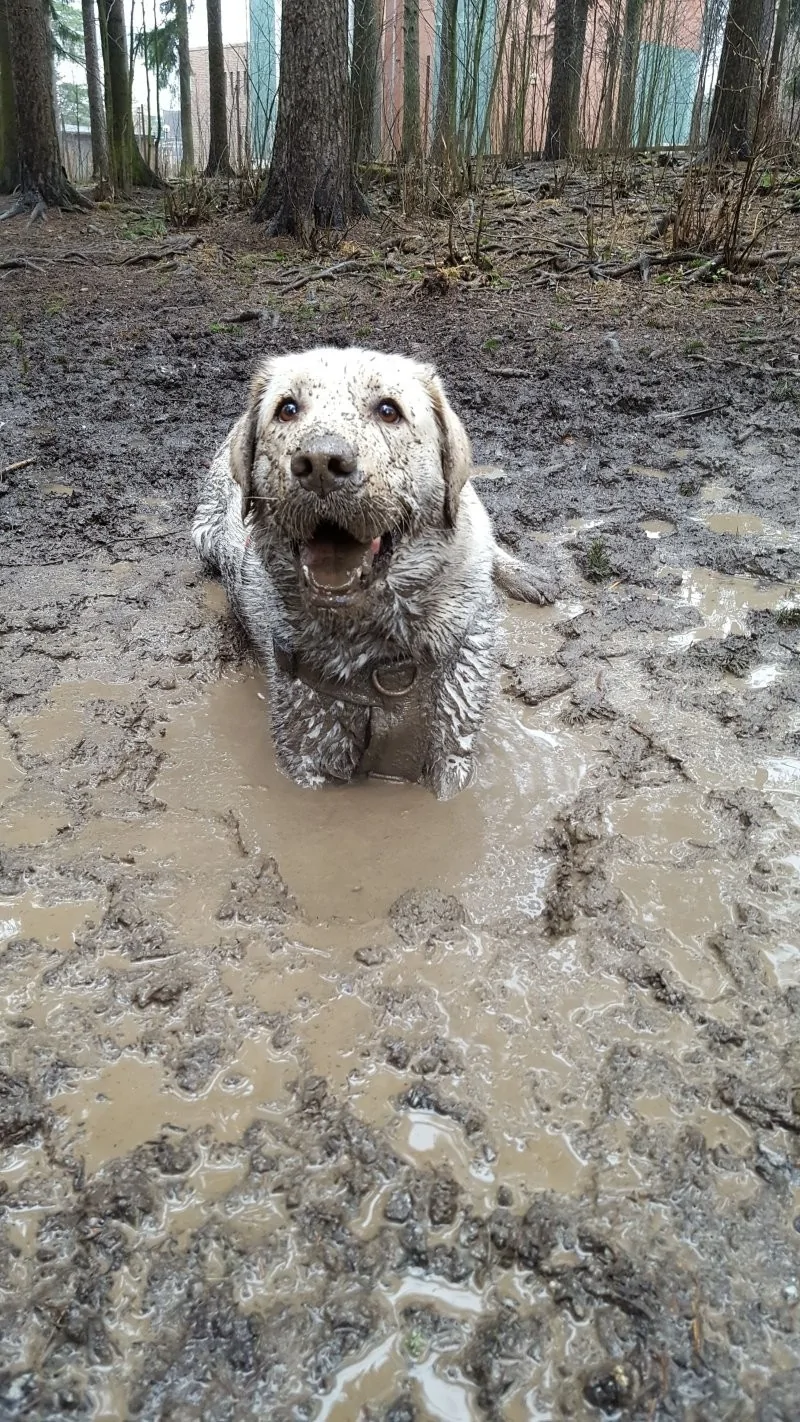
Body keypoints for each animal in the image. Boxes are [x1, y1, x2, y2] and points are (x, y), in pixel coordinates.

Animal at [191, 345, 554, 802]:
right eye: (287, 409)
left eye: (388, 410)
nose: (321, 462)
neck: (381, 654)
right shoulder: (307, 748)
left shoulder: (453, 743)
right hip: (204, 533)